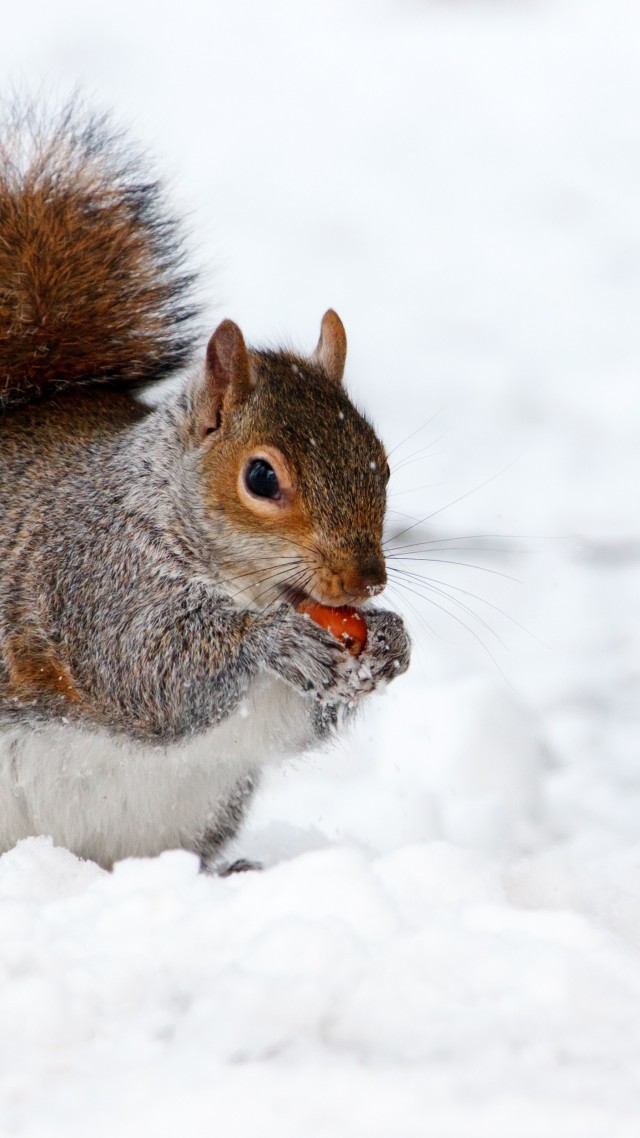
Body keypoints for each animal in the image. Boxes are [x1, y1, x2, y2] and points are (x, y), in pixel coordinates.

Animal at [0, 102, 407, 864]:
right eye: (261, 477)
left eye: (384, 464)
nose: (365, 582)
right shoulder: (95, 577)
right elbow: (148, 668)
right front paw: (270, 641)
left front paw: (392, 642)